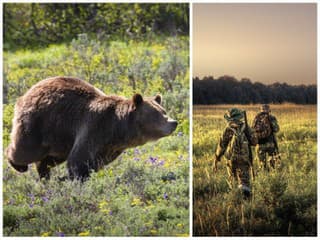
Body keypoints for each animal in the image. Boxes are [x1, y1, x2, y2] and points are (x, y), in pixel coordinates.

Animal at [6, 77, 178, 180]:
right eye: (157, 114)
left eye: (164, 111)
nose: (174, 122)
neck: (118, 129)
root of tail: (30, 90)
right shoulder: (94, 127)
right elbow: (79, 160)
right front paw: (74, 178)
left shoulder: (110, 147)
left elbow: (93, 163)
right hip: (39, 122)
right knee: (26, 151)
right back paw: (18, 164)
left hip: (59, 138)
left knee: (49, 159)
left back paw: (44, 174)